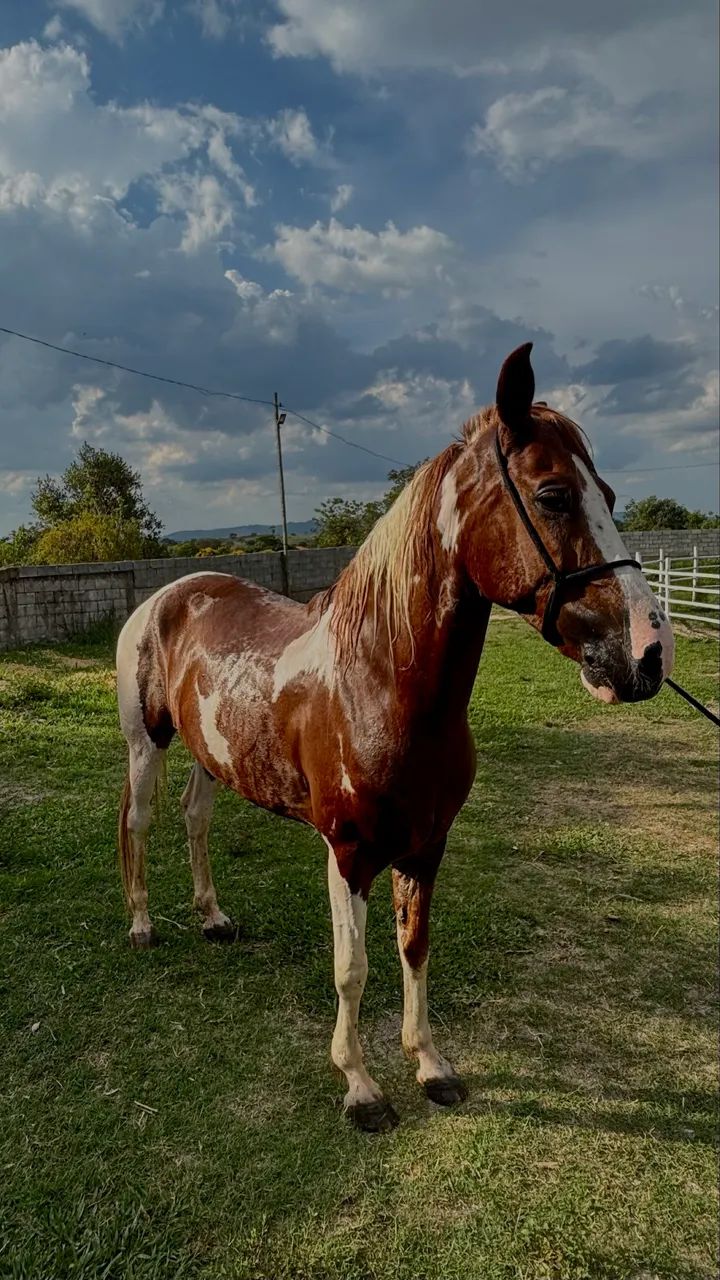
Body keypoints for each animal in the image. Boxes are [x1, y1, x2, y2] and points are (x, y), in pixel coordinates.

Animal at [116, 343, 674, 1132]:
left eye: (612, 494)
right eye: (554, 494)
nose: (650, 654)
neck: (381, 687)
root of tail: (170, 595)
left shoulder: (426, 845)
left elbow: (415, 948)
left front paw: (431, 1065)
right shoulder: (347, 853)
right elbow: (353, 969)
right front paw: (360, 1087)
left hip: (210, 755)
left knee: (196, 820)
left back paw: (213, 918)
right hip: (148, 746)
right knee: (137, 823)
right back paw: (142, 926)